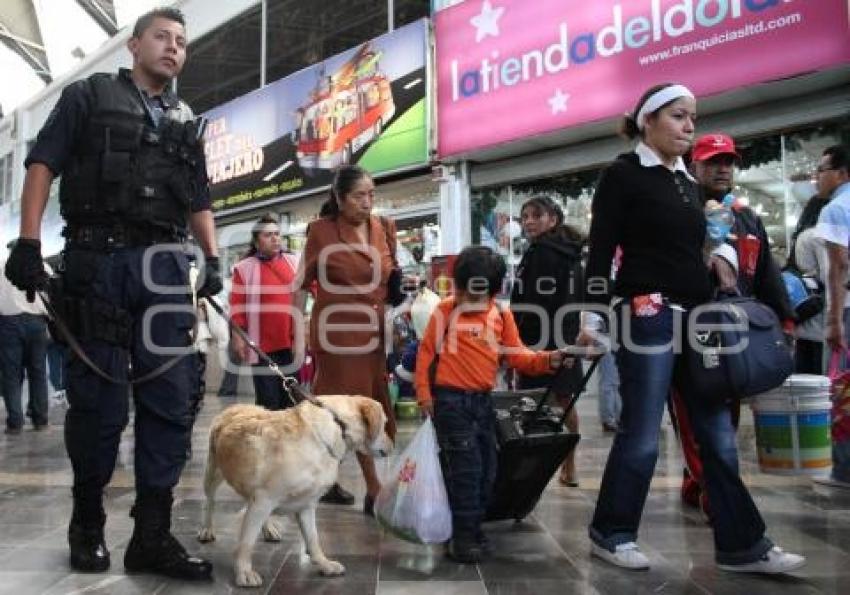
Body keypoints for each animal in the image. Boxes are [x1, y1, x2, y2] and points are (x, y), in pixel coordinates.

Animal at [197, 398, 392, 588]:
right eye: (384, 425)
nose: (392, 446)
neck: (335, 428)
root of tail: (235, 406)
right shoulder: (263, 500)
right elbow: (247, 542)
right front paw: (244, 572)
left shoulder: (305, 505)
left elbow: (313, 539)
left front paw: (324, 564)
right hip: (213, 473)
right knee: (210, 502)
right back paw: (207, 529)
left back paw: (269, 529)